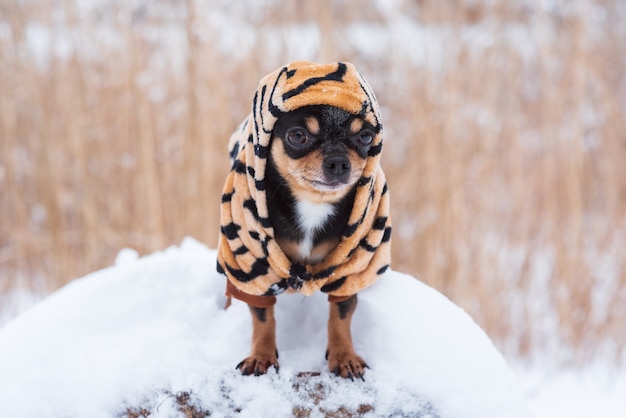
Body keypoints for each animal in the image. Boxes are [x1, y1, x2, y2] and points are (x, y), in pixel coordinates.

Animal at [216, 61, 390, 378]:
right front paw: (260, 356)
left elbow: (341, 316)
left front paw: (344, 356)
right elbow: (262, 317)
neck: (313, 204)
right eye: (297, 136)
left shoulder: (348, 269)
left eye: (365, 137)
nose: (338, 161)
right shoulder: (255, 263)